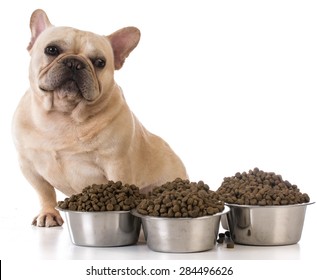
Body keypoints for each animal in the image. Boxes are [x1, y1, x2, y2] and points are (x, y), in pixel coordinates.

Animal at [12, 9, 186, 228]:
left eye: (100, 62)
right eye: (51, 49)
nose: (75, 63)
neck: (64, 115)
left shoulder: (116, 163)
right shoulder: (28, 164)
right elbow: (45, 192)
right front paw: (49, 212)